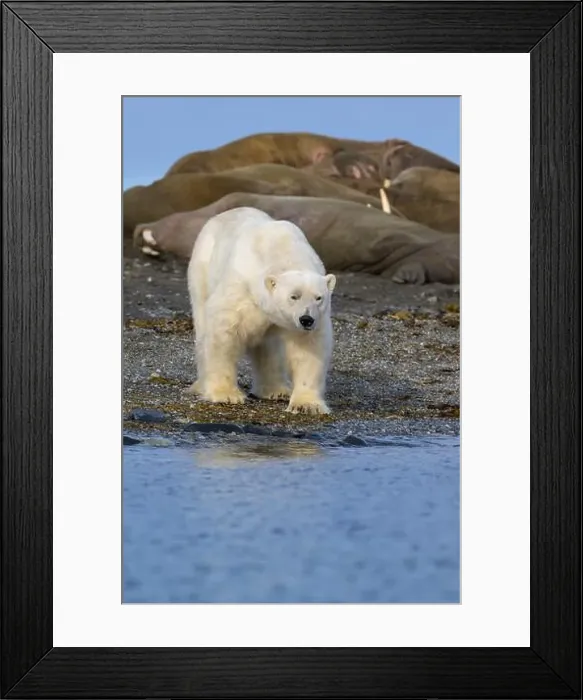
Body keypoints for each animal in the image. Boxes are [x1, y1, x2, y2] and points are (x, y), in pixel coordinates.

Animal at [187, 207, 336, 415]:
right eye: (294, 296)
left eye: (318, 298)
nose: (306, 319)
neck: (282, 252)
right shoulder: (241, 290)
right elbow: (223, 333)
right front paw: (226, 394)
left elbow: (307, 349)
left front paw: (307, 405)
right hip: (202, 270)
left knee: (269, 348)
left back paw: (276, 390)